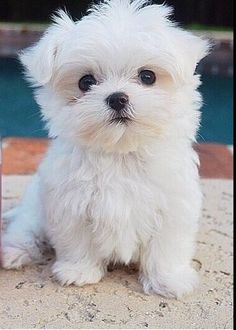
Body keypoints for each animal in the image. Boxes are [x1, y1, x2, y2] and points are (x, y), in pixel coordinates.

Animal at [1, 0, 208, 298]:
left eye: (147, 76)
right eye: (85, 82)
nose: (117, 98)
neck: (120, 154)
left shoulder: (173, 205)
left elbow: (167, 246)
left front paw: (169, 280)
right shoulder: (70, 205)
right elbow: (76, 241)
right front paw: (79, 271)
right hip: (33, 211)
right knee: (24, 230)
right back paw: (14, 253)